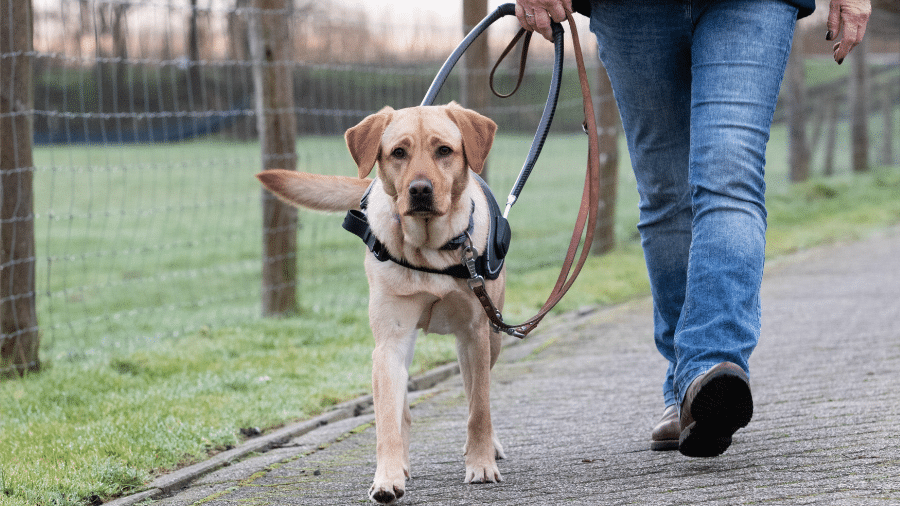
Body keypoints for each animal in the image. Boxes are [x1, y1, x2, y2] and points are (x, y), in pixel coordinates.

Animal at [256, 102, 506, 502]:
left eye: (444, 150)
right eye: (398, 152)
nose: (419, 190)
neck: (428, 251)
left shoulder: (474, 333)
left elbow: (478, 408)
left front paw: (480, 463)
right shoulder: (389, 342)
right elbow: (387, 419)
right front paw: (387, 477)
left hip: (493, 336)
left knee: (475, 394)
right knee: (402, 410)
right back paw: (402, 464)